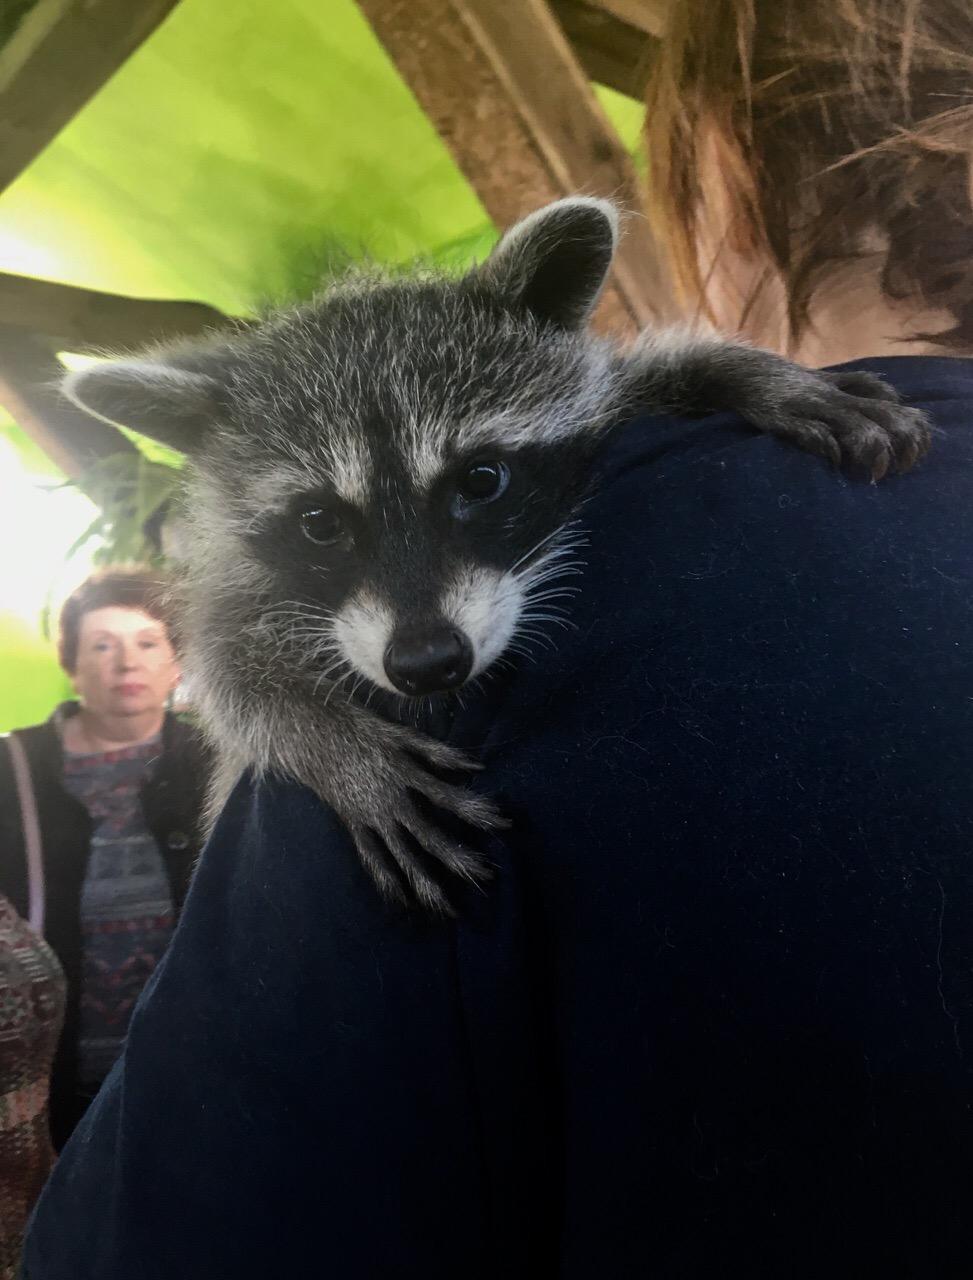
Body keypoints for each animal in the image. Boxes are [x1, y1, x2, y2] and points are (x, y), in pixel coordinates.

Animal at [64, 194, 932, 911]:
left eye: (480, 481)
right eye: (319, 523)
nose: (426, 663)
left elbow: (643, 374)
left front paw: (745, 372)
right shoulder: (240, 581)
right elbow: (226, 668)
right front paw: (331, 745)